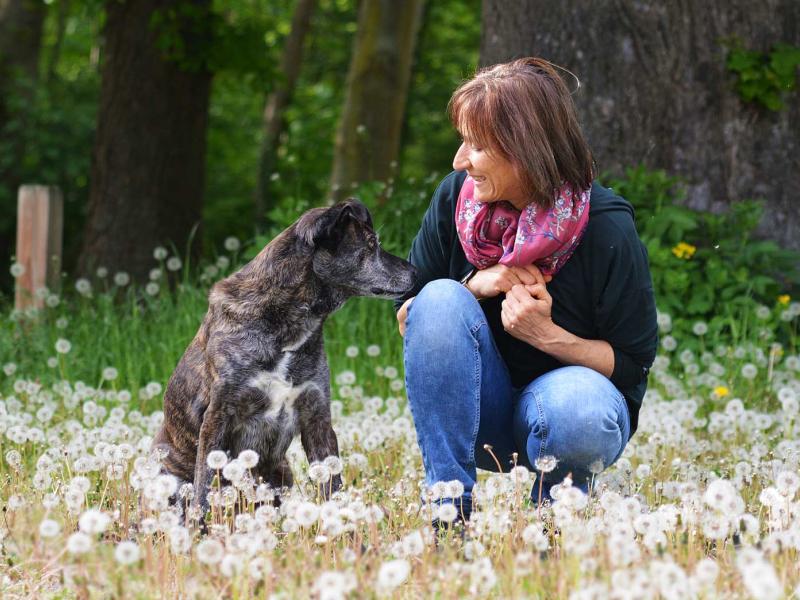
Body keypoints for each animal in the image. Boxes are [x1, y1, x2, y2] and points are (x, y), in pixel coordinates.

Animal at [148, 199, 418, 516]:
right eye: (372, 244)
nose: (416, 272)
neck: (289, 323)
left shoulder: (317, 417)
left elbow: (333, 484)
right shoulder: (217, 418)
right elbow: (204, 488)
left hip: (282, 470)